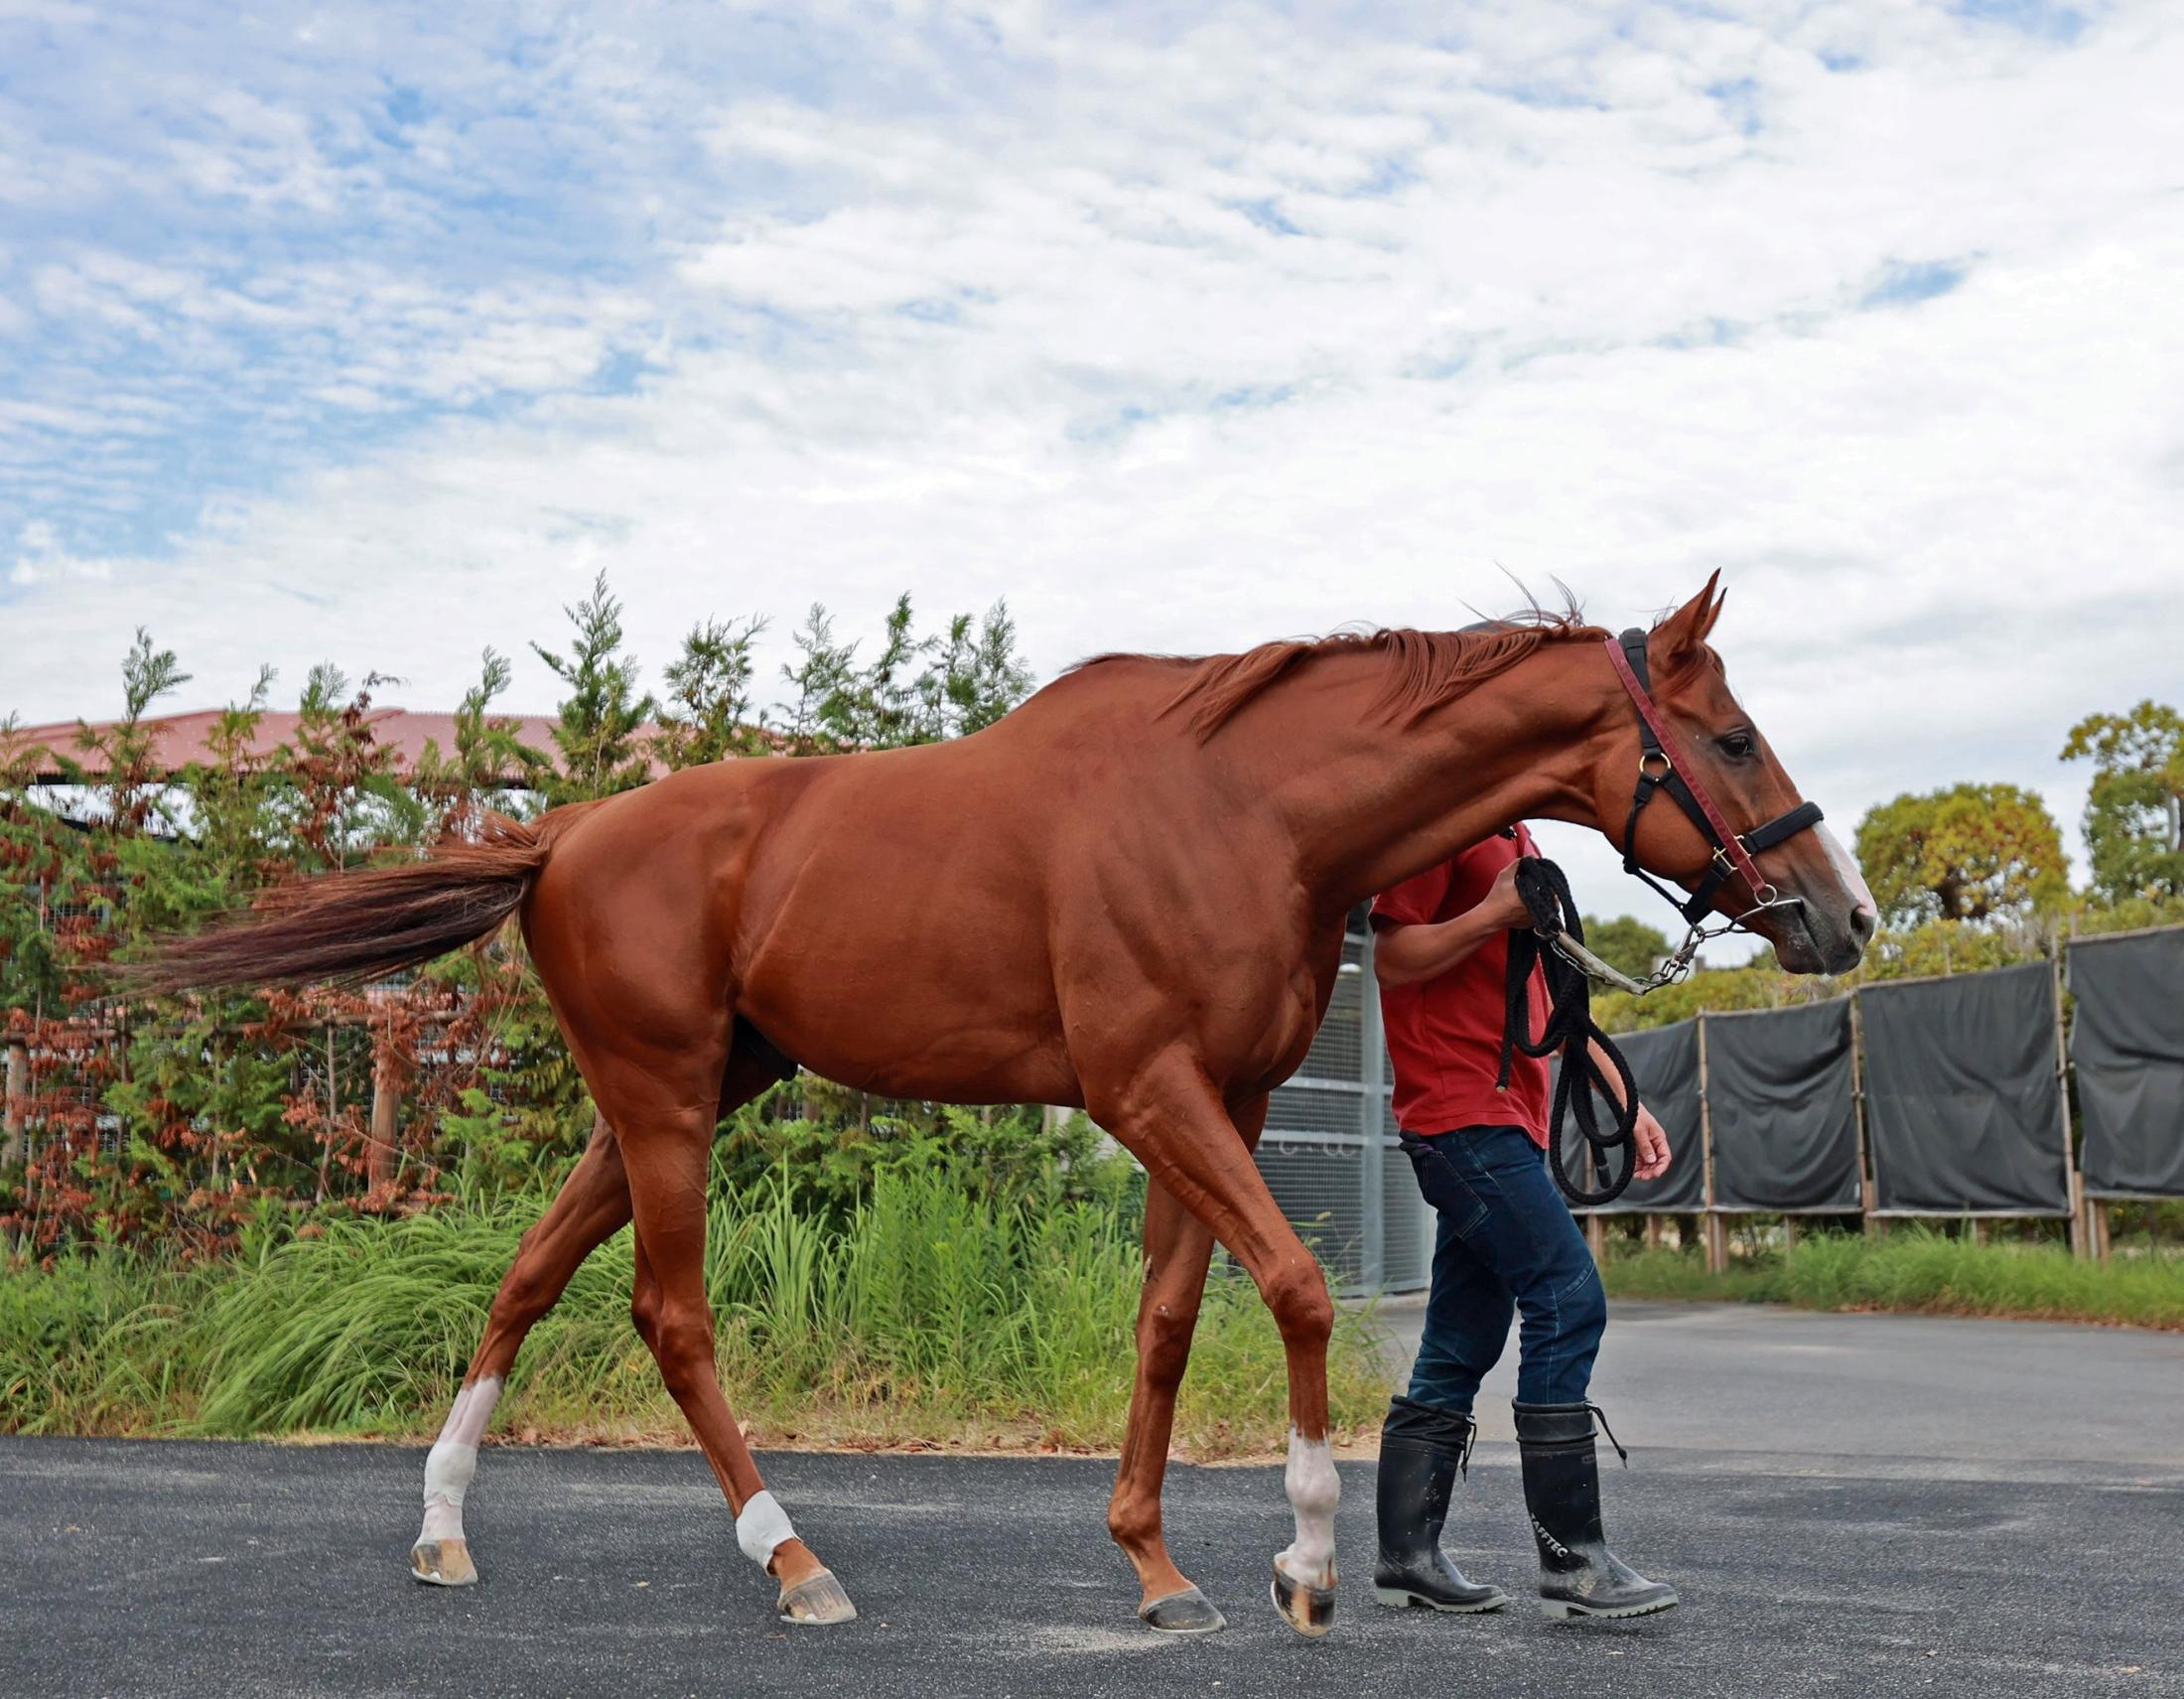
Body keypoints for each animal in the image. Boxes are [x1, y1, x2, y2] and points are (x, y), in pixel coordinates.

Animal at [140, 576, 1878, 1633]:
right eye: (1730, 735)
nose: (1841, 914)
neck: (1246, 809)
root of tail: (562, 834)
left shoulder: (1224, 1099)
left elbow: (1169, 1321)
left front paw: (1160, 1563)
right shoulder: (1146, 1087)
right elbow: (1299, 1288)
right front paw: (1311, 1558)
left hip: (661, 1098)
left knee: (527, 1275)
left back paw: (445, 1526)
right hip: (666, 1104)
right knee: (668, 1311)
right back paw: (795, 1558)